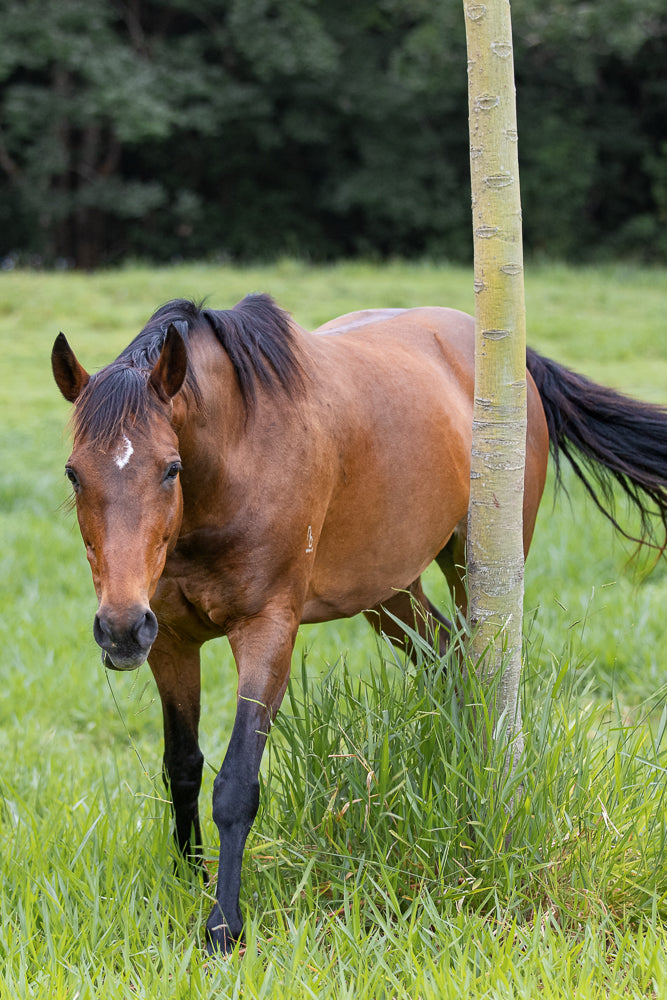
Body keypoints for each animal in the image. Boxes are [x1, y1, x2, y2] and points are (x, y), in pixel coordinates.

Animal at [51, 294, 667, 953]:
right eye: (74, 473)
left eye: (170, 468)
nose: (117, 629)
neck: (237, 460)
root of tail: (508, 357)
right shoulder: (168, 638)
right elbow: (184, 768)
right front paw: (189, 880)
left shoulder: (268, 629)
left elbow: (236, 784)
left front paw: (223, 926)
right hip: (389, 591)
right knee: (446, 658)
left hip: (476, 567)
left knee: (480, 667)